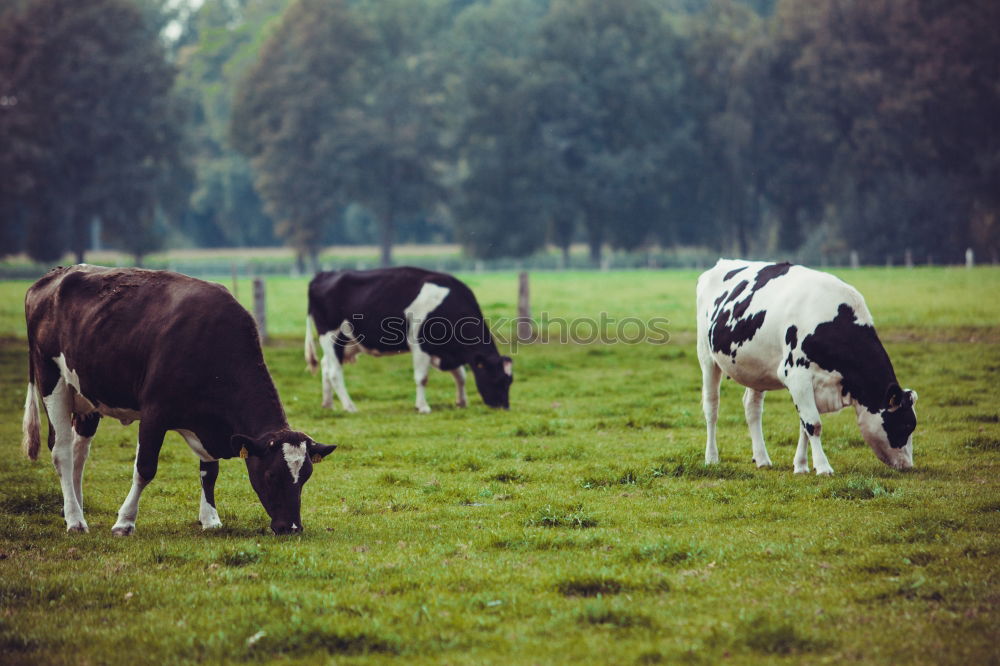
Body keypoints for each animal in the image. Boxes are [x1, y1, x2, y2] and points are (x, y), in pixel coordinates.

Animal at [21, 264, 336, 536]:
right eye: (271, 475)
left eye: (305, 476)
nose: (291, 527)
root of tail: (52, 277)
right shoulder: (154, 414)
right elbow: (145, 468)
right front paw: (125, 522)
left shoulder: (209, 423)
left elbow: (210, 471)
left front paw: (210, 518)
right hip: (52, 380)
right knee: (61, 450)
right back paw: (75, 520)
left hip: (86, 395)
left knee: (79, 452)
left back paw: (73, 508)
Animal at [304, 264, 512, 410]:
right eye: (497, 379)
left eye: (509, 381)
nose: (504, 407)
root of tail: (323, 275)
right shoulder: (420, 345)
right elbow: (422, 378)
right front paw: (423, 406)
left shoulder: (448, 351)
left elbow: (461, 376)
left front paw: (461, 402)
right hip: (331, 336)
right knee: (334, 372)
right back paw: (350, 406)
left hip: (346, 343)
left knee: (325, 366)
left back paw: (328, 404)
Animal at [696, 258, 916, 472]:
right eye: (906, 425)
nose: (908, 465)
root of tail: (721, 263)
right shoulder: (797, 376)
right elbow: (813, 424)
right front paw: (823, 467)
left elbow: (804, 425)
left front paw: (801, 465)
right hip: (706, 357)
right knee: (712, 408)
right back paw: (712, 457)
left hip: (756, 369)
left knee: (752, 409)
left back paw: (762, 458)